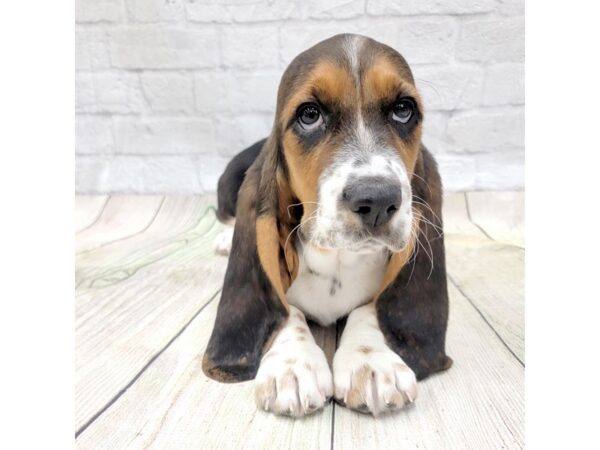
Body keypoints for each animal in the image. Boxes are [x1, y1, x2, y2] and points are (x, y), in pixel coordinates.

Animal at [202, 33, 450, 416]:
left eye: (403, 109)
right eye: (310, 115)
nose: (377, 200)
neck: (339, 258)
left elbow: (369, 308)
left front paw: (372, 363)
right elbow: (286, 310)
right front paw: (292, 368)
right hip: (229, 180)